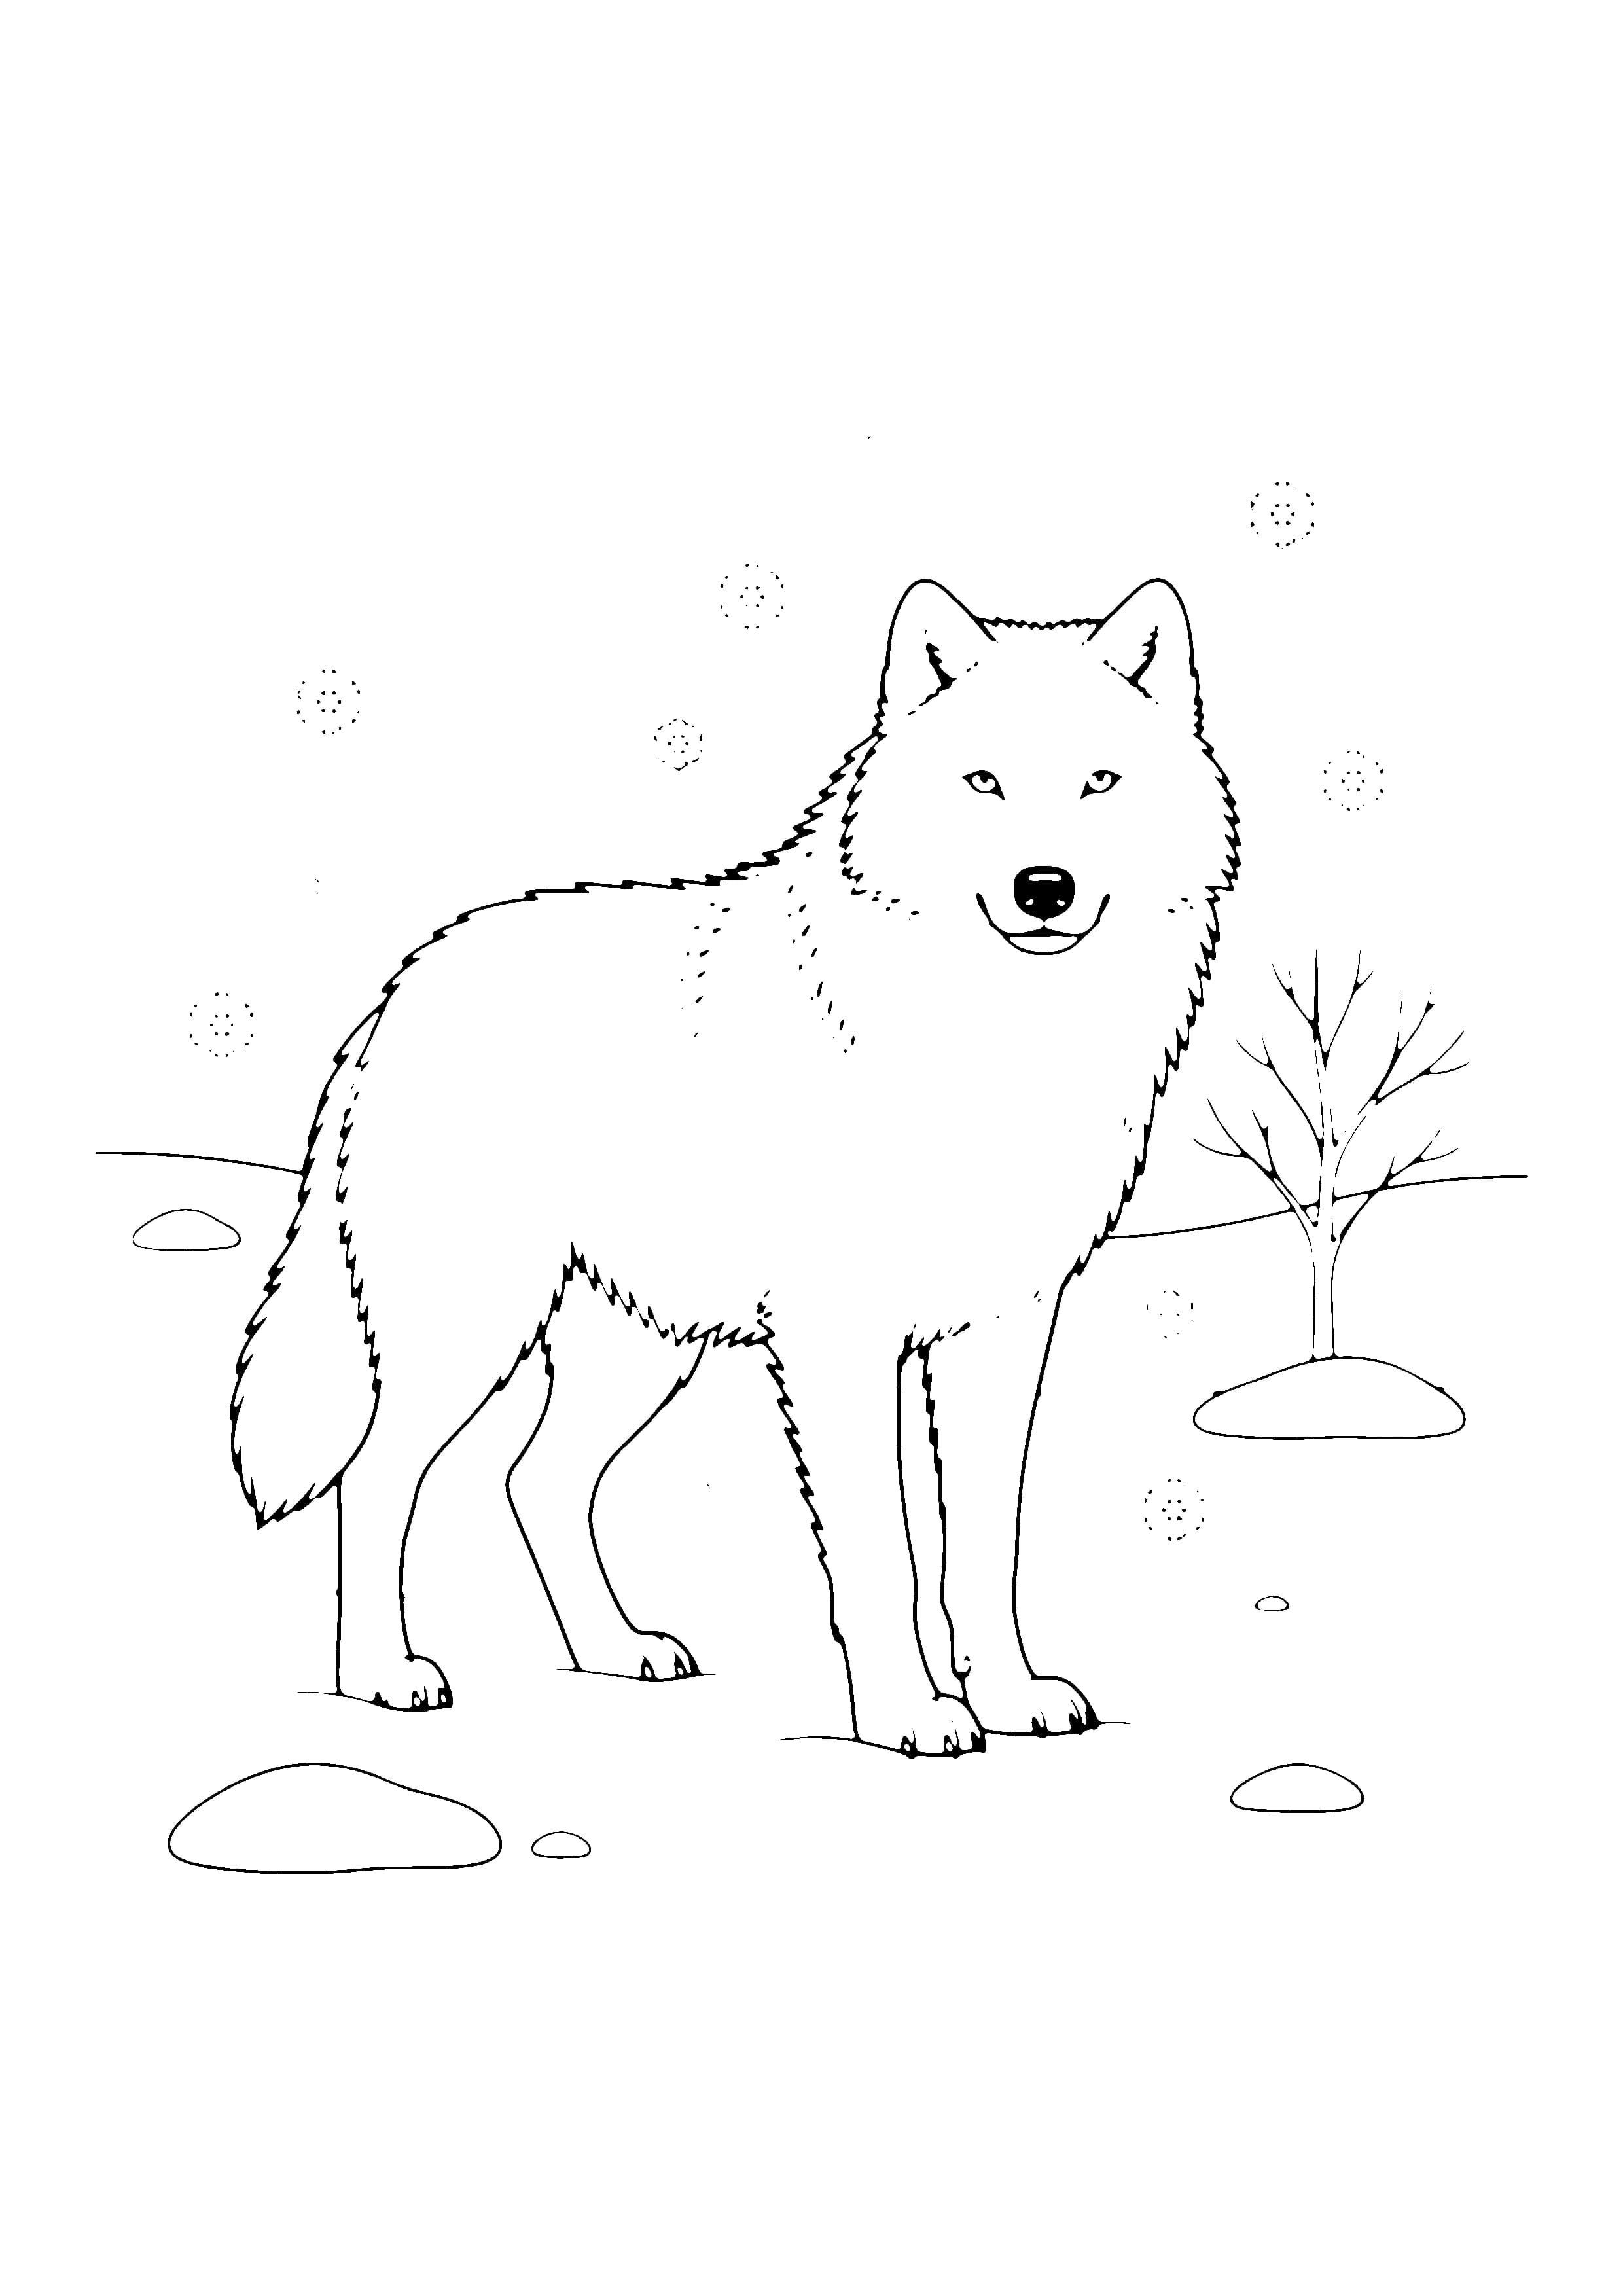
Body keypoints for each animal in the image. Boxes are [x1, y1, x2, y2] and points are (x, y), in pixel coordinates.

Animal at [232, 576, 1239, 1756]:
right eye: (982, 781)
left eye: (1100, 782)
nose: (1046, 887)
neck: (985, 1031)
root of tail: (396, 989)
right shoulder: (841, 1342)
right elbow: (885, 1559)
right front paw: (911, 1713)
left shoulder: (1003, 1329)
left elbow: (986, 1550)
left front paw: (1009, 1694)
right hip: (469, 1329)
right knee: (378, 1476)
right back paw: (383, 1675)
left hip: (639, 1351)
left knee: (535, 1479)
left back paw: (616, 1649)